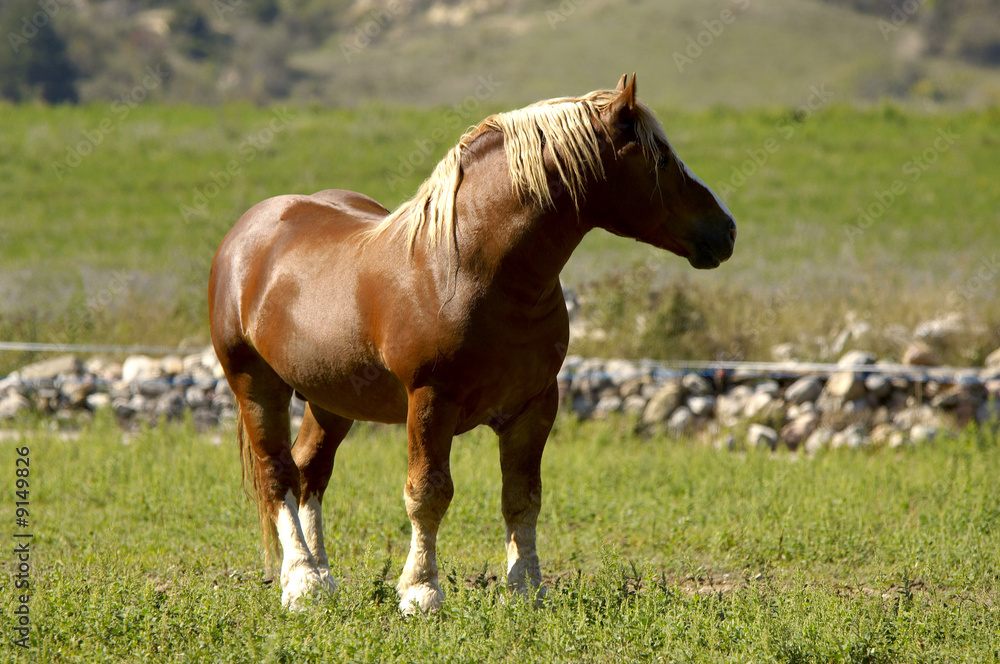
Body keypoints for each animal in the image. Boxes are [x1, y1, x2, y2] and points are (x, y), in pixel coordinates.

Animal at [208, 74, 736, 613]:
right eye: (662, 159)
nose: (727, 230)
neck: (470, 270)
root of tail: (248, 232)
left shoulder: (534, 406)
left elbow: (523, 497)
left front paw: (526, 588)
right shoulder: (430, 401)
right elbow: (428, 494)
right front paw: (421, 591)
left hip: (330, 398)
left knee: (310, 470)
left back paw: (322, 576)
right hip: (256, 385)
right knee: (278, 475)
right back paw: (301, 583)